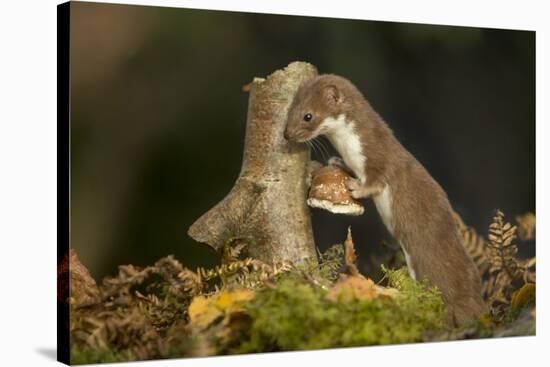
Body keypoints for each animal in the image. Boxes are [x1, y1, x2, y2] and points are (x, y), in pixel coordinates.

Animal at [284, 73, 488, 326]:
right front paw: (338, 162)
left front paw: (355, 186)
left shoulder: (380, 159)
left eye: (308, 115)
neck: (350, 149)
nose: (287, 134)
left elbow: (378, 180)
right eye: (290, 109)